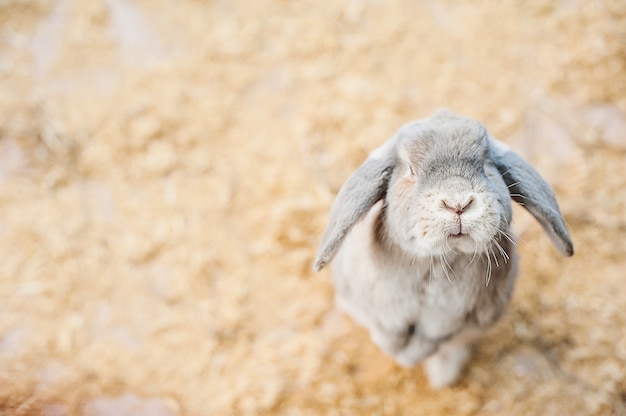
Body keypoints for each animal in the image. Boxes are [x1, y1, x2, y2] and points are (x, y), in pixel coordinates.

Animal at [312, 109, 572, 388]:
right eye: (411, 170)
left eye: (486, 166)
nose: (458, 204)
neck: (435, 263)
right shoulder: (384, 310)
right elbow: (388, 332)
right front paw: (395, 352)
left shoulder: (446, 321)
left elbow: (430, 340)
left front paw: (409, 359)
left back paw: (443, 376)